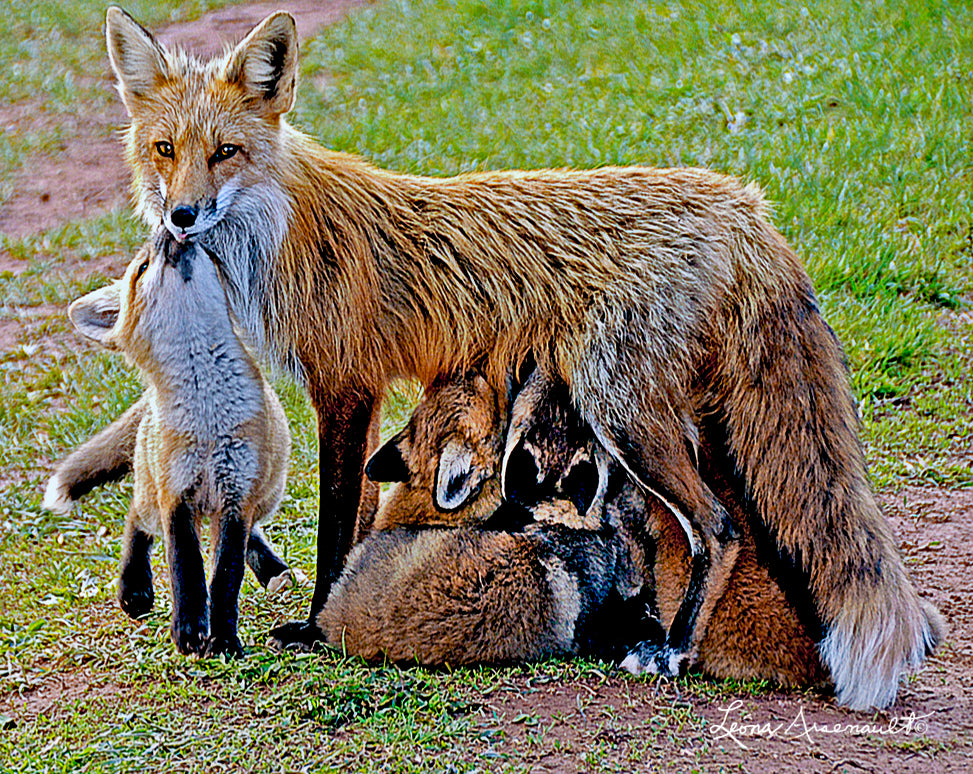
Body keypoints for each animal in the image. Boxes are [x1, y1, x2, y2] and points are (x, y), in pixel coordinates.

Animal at [65, 231, 291, 657]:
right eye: (142, 267)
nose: (170, 231)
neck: (208, 415)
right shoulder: (176, 495)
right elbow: (186, 568)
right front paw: (188, 631)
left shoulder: (237, 495)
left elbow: (226, 573)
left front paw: (223, 638)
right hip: (153, 495)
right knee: (135, 519)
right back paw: (134, 588)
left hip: (266, 495)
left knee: (252, 535)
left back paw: (273, 570)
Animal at [102, 7, 942, 707]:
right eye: (166, 150)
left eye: (226, 152)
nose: (181, 217)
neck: (279, 226)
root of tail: (742, 202)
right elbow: (358, 509)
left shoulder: (345, 386)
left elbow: (338, 525)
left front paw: (316, 625)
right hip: (688, 414)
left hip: (622, 412)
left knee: (718, 528)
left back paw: (671, 652)